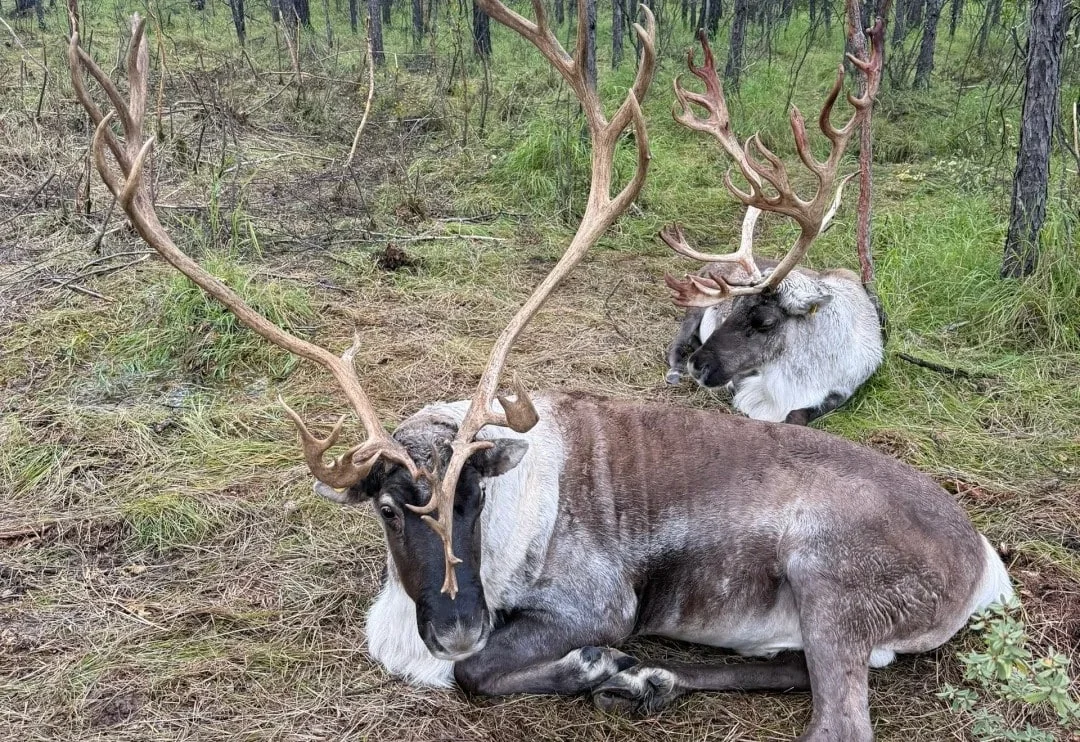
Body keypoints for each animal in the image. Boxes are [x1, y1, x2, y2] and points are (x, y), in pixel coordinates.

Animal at [661, 31, 886, 426]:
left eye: (765, 322)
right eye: (730, 309)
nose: (698, 366)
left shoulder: (843, 390)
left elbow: (799, 415)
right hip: (695, 304)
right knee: (676, 340)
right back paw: (675, 367)